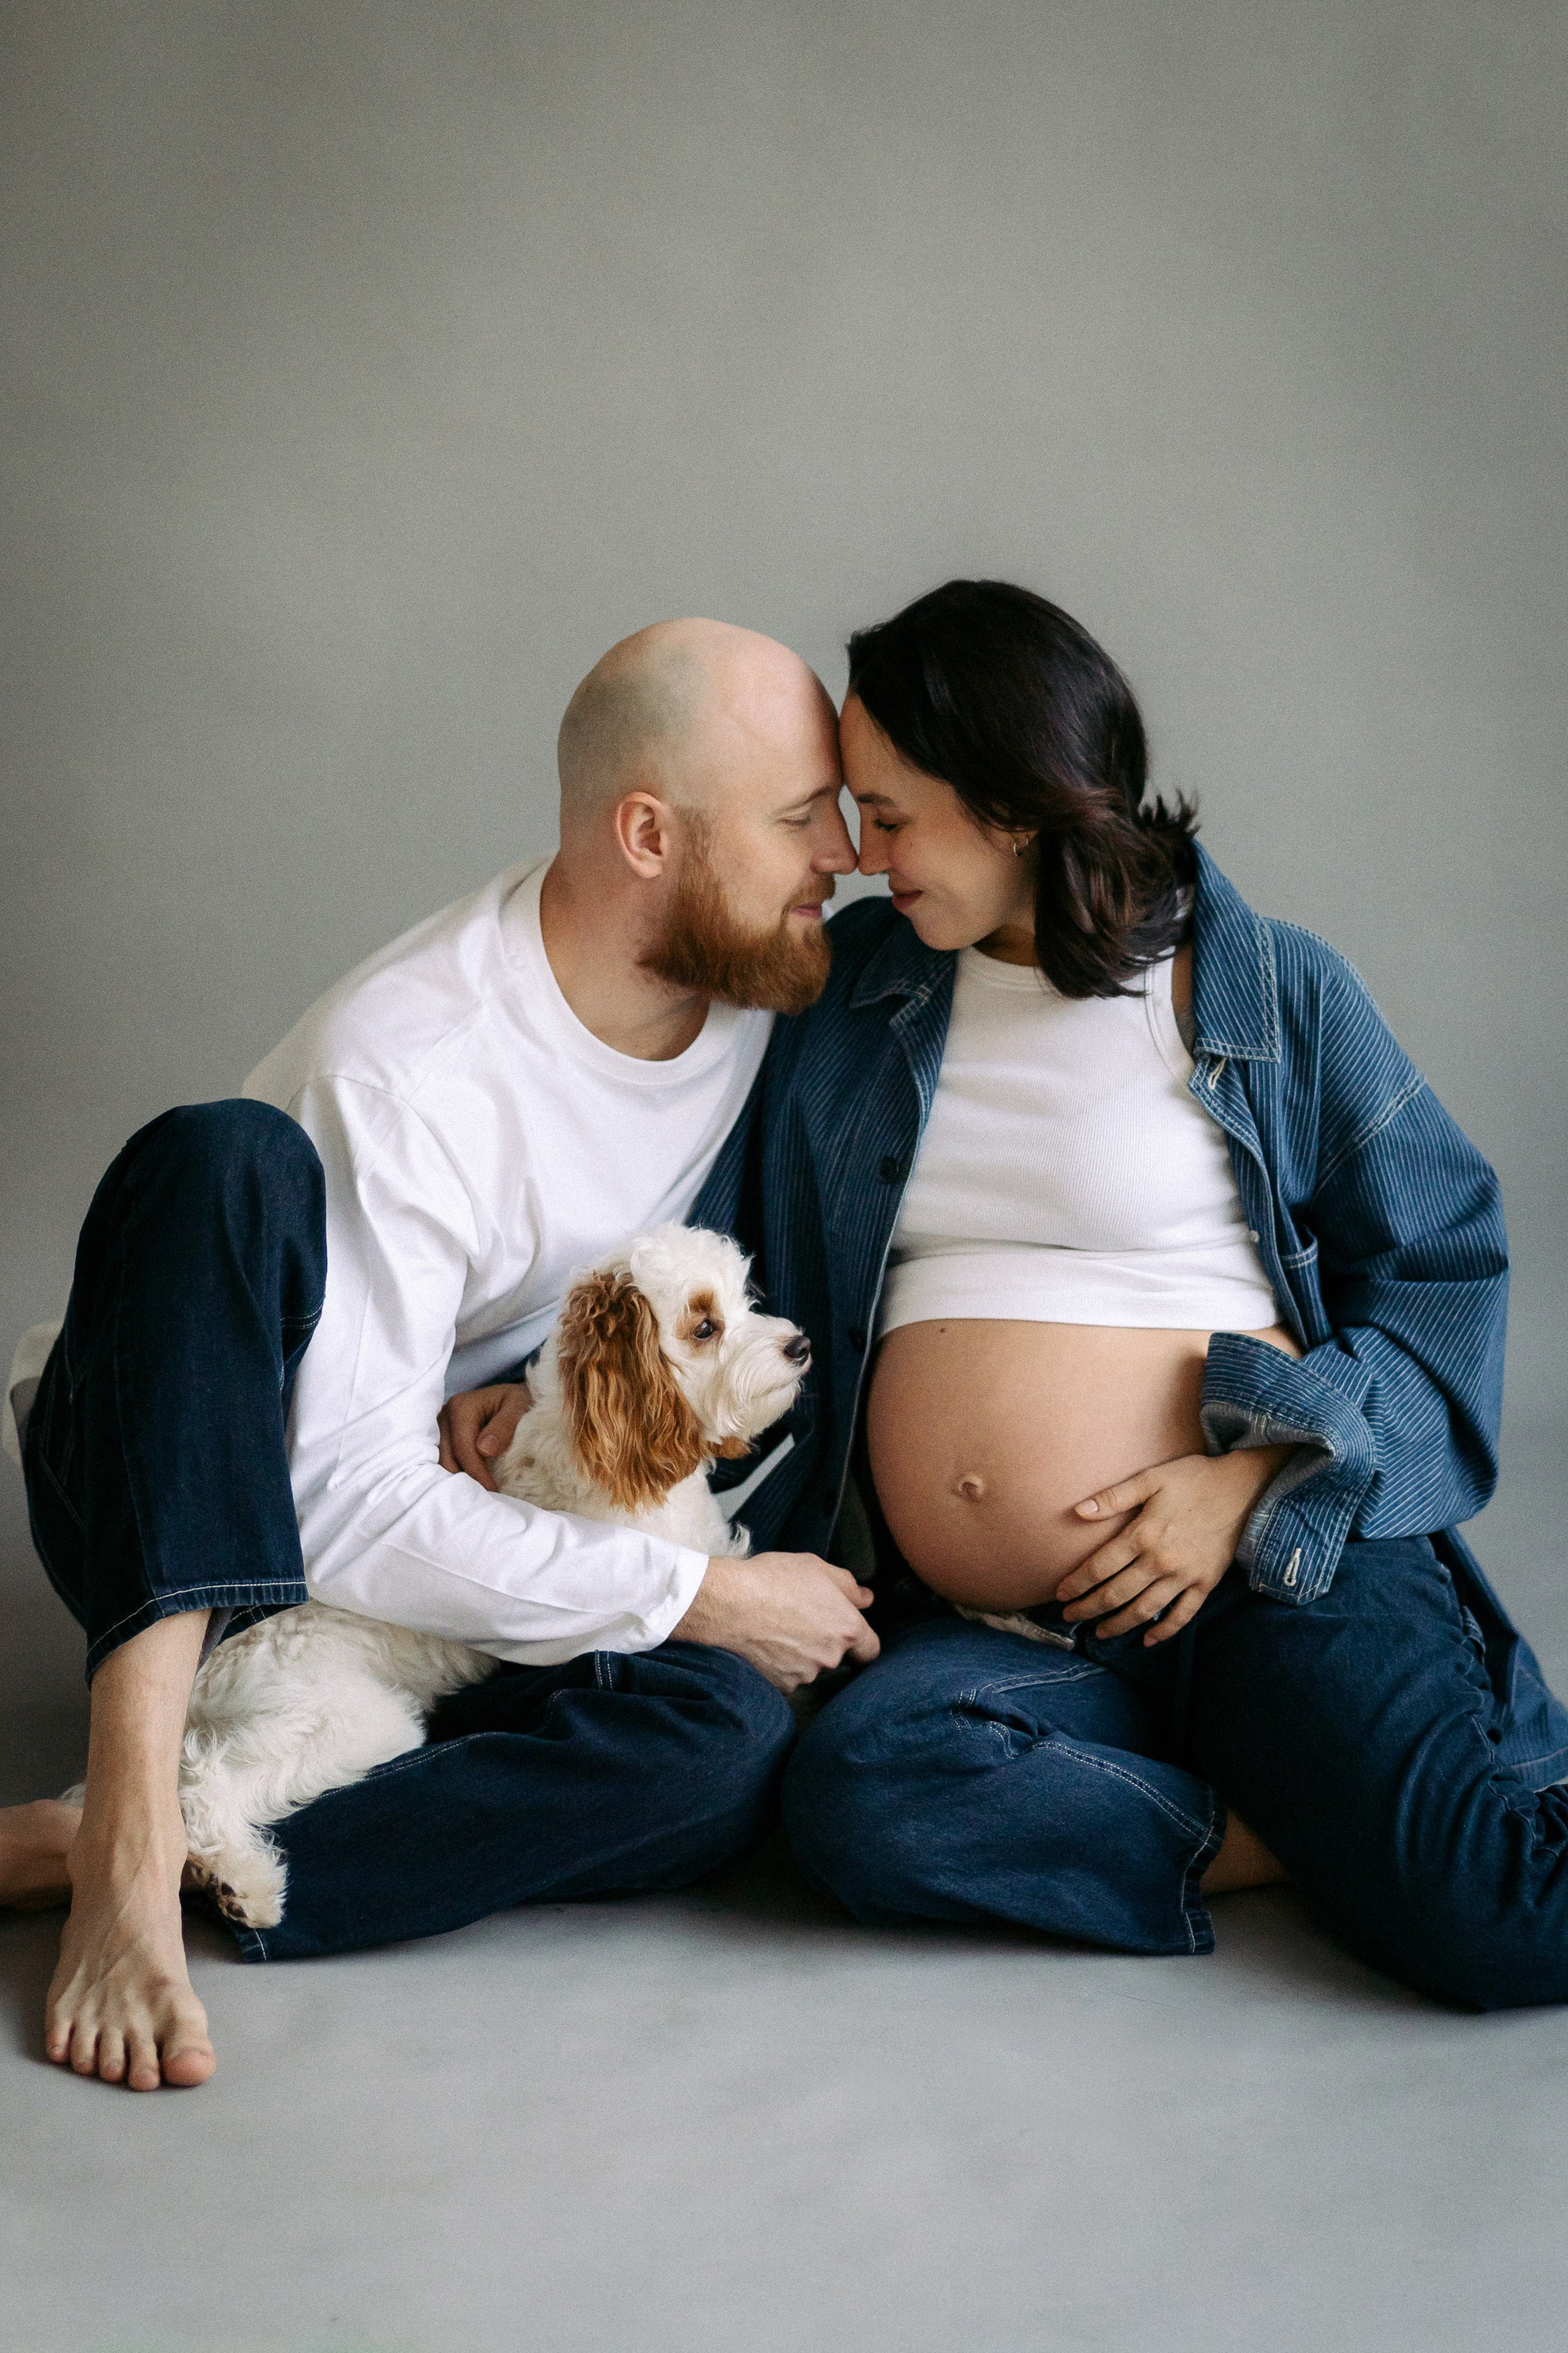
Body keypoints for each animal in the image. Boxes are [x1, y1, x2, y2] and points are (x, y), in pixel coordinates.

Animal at [160, 1226, 809, 1929]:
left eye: (743, 1300)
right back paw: (238, 1880)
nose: (799, 1345)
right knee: (200, 1775)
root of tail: (213, 1662)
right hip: (346, 1718)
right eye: (704, 1325)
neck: (594, 1438)